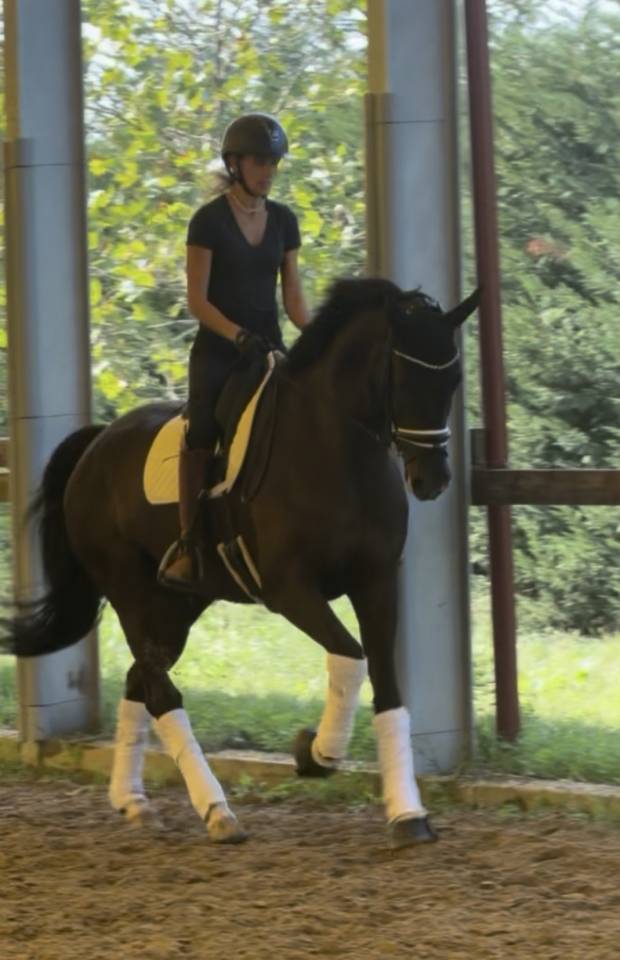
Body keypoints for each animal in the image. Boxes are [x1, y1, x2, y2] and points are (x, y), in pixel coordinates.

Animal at [2, 276, 479, 849]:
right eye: (405, 376)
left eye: (452, 379)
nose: (433, 480)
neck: (336, 447)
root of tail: (97, 444)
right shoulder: (289, 588)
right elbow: (350, 657)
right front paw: (315, 753)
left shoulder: (377, 582)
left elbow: (387, 686)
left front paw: (408, 814)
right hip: (130, 590)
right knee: (160, 689)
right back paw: (216, 811)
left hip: (177, 604)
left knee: (142, 678)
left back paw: (133, 800)